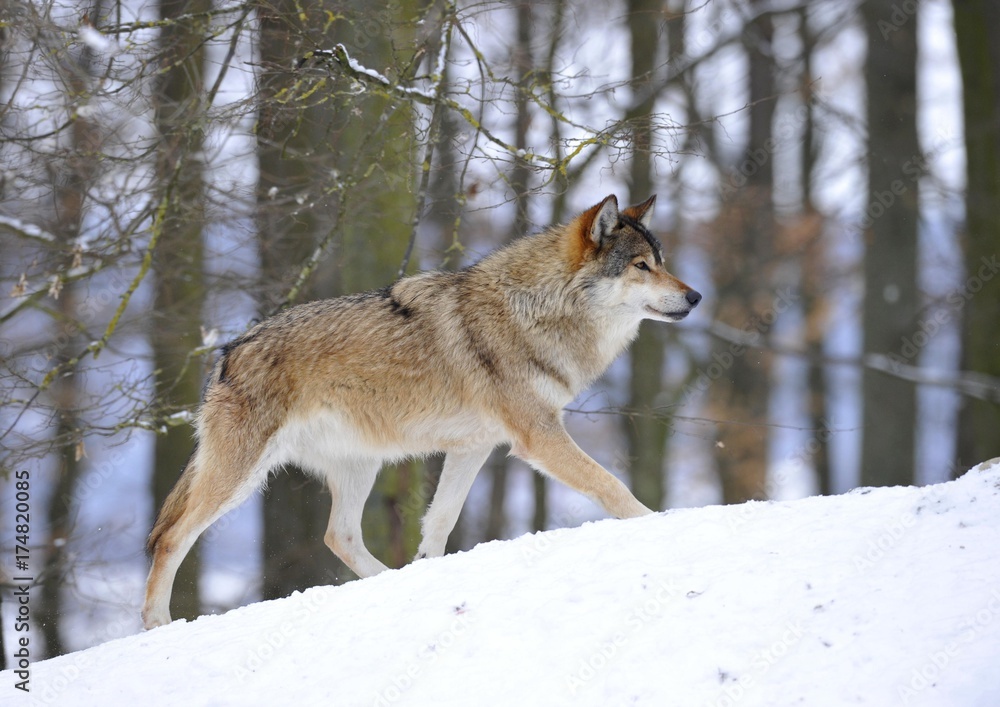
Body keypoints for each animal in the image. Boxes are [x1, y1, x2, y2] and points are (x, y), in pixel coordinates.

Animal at [141, 195, 704, 632]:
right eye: (641, 266)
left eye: (662, 260)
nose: (696, 295)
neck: (536, 310)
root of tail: (226, 353)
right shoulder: (539, 436)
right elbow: (613, 487)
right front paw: (658, 524)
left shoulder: (475, 447)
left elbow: (440, 521)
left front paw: (427, 571)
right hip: (241, 476)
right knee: (171, 536)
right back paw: (156, 624)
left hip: (359, 466)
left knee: (338, 535)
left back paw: (389, 581)